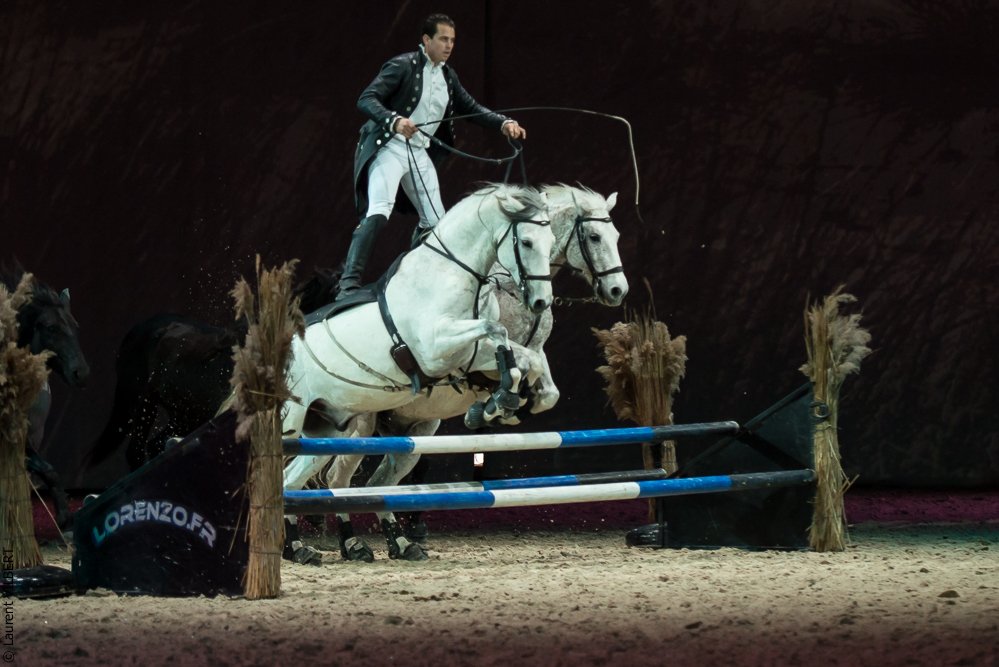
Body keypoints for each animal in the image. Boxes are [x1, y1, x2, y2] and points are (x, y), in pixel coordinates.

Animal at [1, 267, 90, 530]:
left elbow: (48, 470)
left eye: (75, 325)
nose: (81, 373)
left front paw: (64, 517)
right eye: (51, 328)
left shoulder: (26, 438)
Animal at [282, 184, 628, 563]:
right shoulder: (448, 354)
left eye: (615, 235)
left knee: (366, 483)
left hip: (394, 432)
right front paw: (496, 405)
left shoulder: (514, 351)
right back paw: (334, 544)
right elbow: (504, 347)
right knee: (336, 479)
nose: (618, 290)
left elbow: (542, 381)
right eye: (594, 236)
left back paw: (393, 542)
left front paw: (508, 407)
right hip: (355, 428)